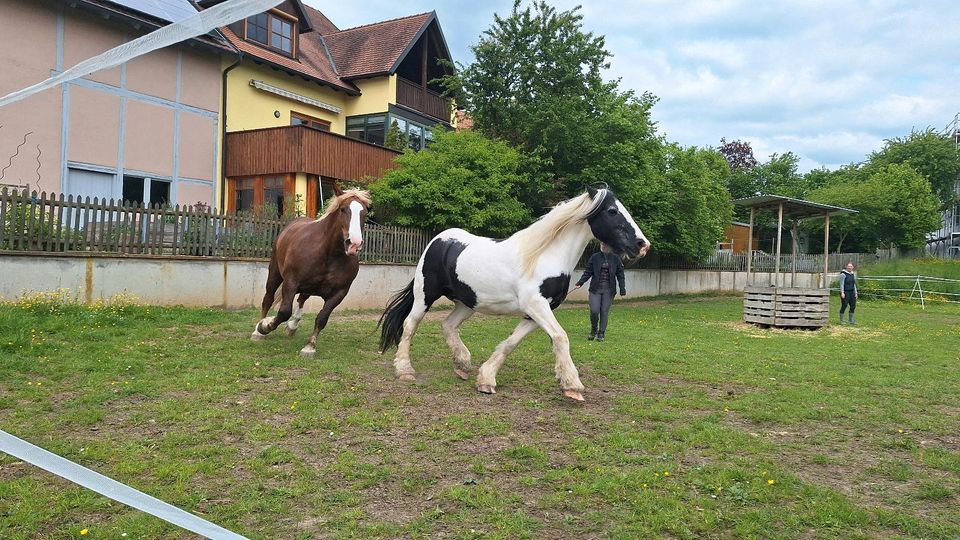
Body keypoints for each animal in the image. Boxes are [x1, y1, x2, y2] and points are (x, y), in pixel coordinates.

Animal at [251, 188, 372, 356]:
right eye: (343, 209)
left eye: (364, 213)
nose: (354, 244)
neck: (329, 254)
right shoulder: (291, 282)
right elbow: (284, 311)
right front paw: (265, 326)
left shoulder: (340, 292)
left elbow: (322, 318)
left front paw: (310, 346)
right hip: (275, 273)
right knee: (268, 298)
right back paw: (258, 330)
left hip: (308, 287)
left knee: (301, 299)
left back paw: (292, 326)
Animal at [378, 186, 648, 400]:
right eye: (612, 211)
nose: (642, 245)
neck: (543, 256)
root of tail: (439, 240)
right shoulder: (536, 305)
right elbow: (561, 337)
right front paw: (572, 385)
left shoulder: (536, 312)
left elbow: (511, 343)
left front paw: (486, 380)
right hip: (425, 295)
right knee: (410, 325)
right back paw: (404, 370)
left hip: (467, 302)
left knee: (448, 325)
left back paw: (462, 363)